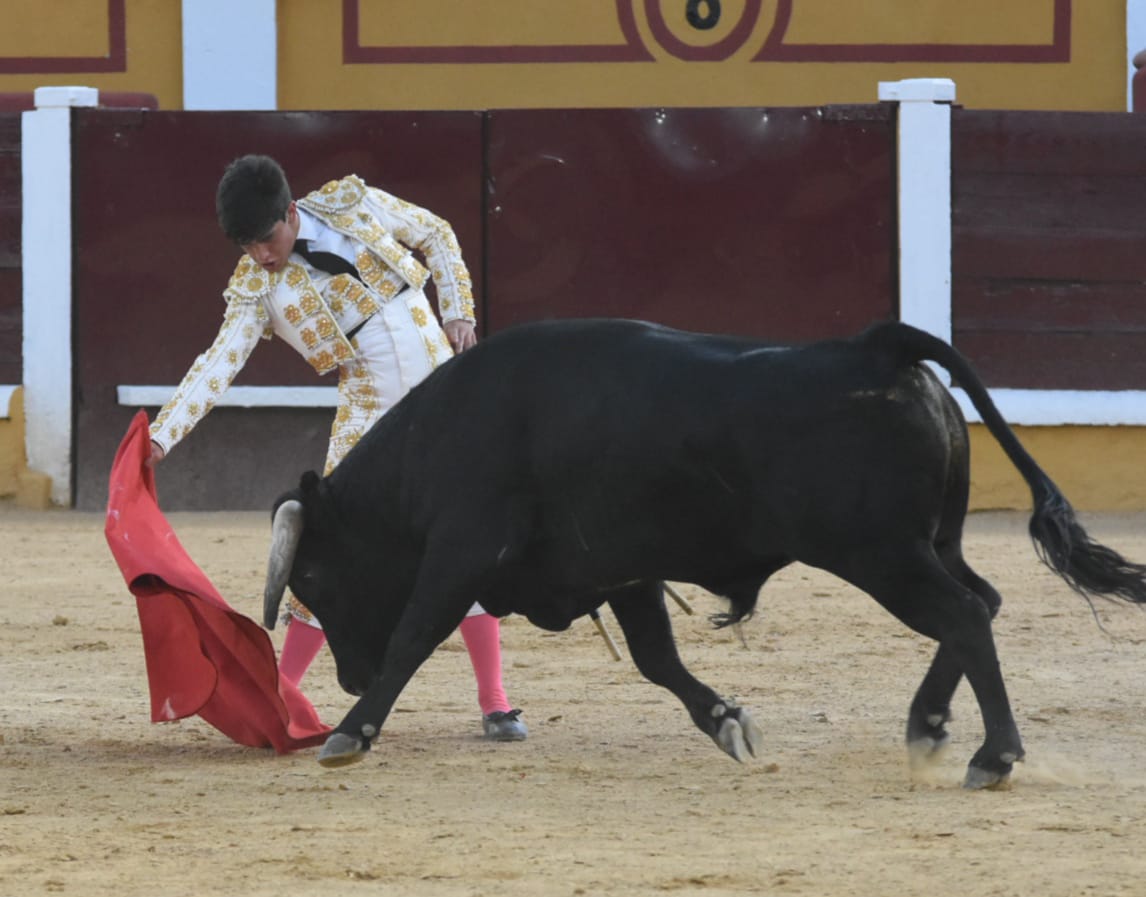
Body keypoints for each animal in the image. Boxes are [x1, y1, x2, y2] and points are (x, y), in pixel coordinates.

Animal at [263, 318, 1146, 788]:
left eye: (314, 575)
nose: (348, 677)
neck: (439, 441)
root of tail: (880, 347)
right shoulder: (619, 567)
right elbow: (657, 657)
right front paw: (728, 721)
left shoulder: (462, 552)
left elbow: (414, 635)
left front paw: (350, 732)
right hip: (931, 542)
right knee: (980, 603)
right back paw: (928, 725)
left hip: (882, 554)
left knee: (963, 613)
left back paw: (993, 755)